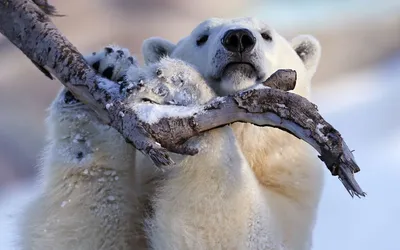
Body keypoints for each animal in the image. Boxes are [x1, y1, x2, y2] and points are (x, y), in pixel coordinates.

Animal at [20, 16, 324, 249]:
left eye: (266, 34)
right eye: (202, 36)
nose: (238, 38)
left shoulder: (293, 194)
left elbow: (238, 232)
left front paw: (177, 83)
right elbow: (82, 232)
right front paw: (106, 70)